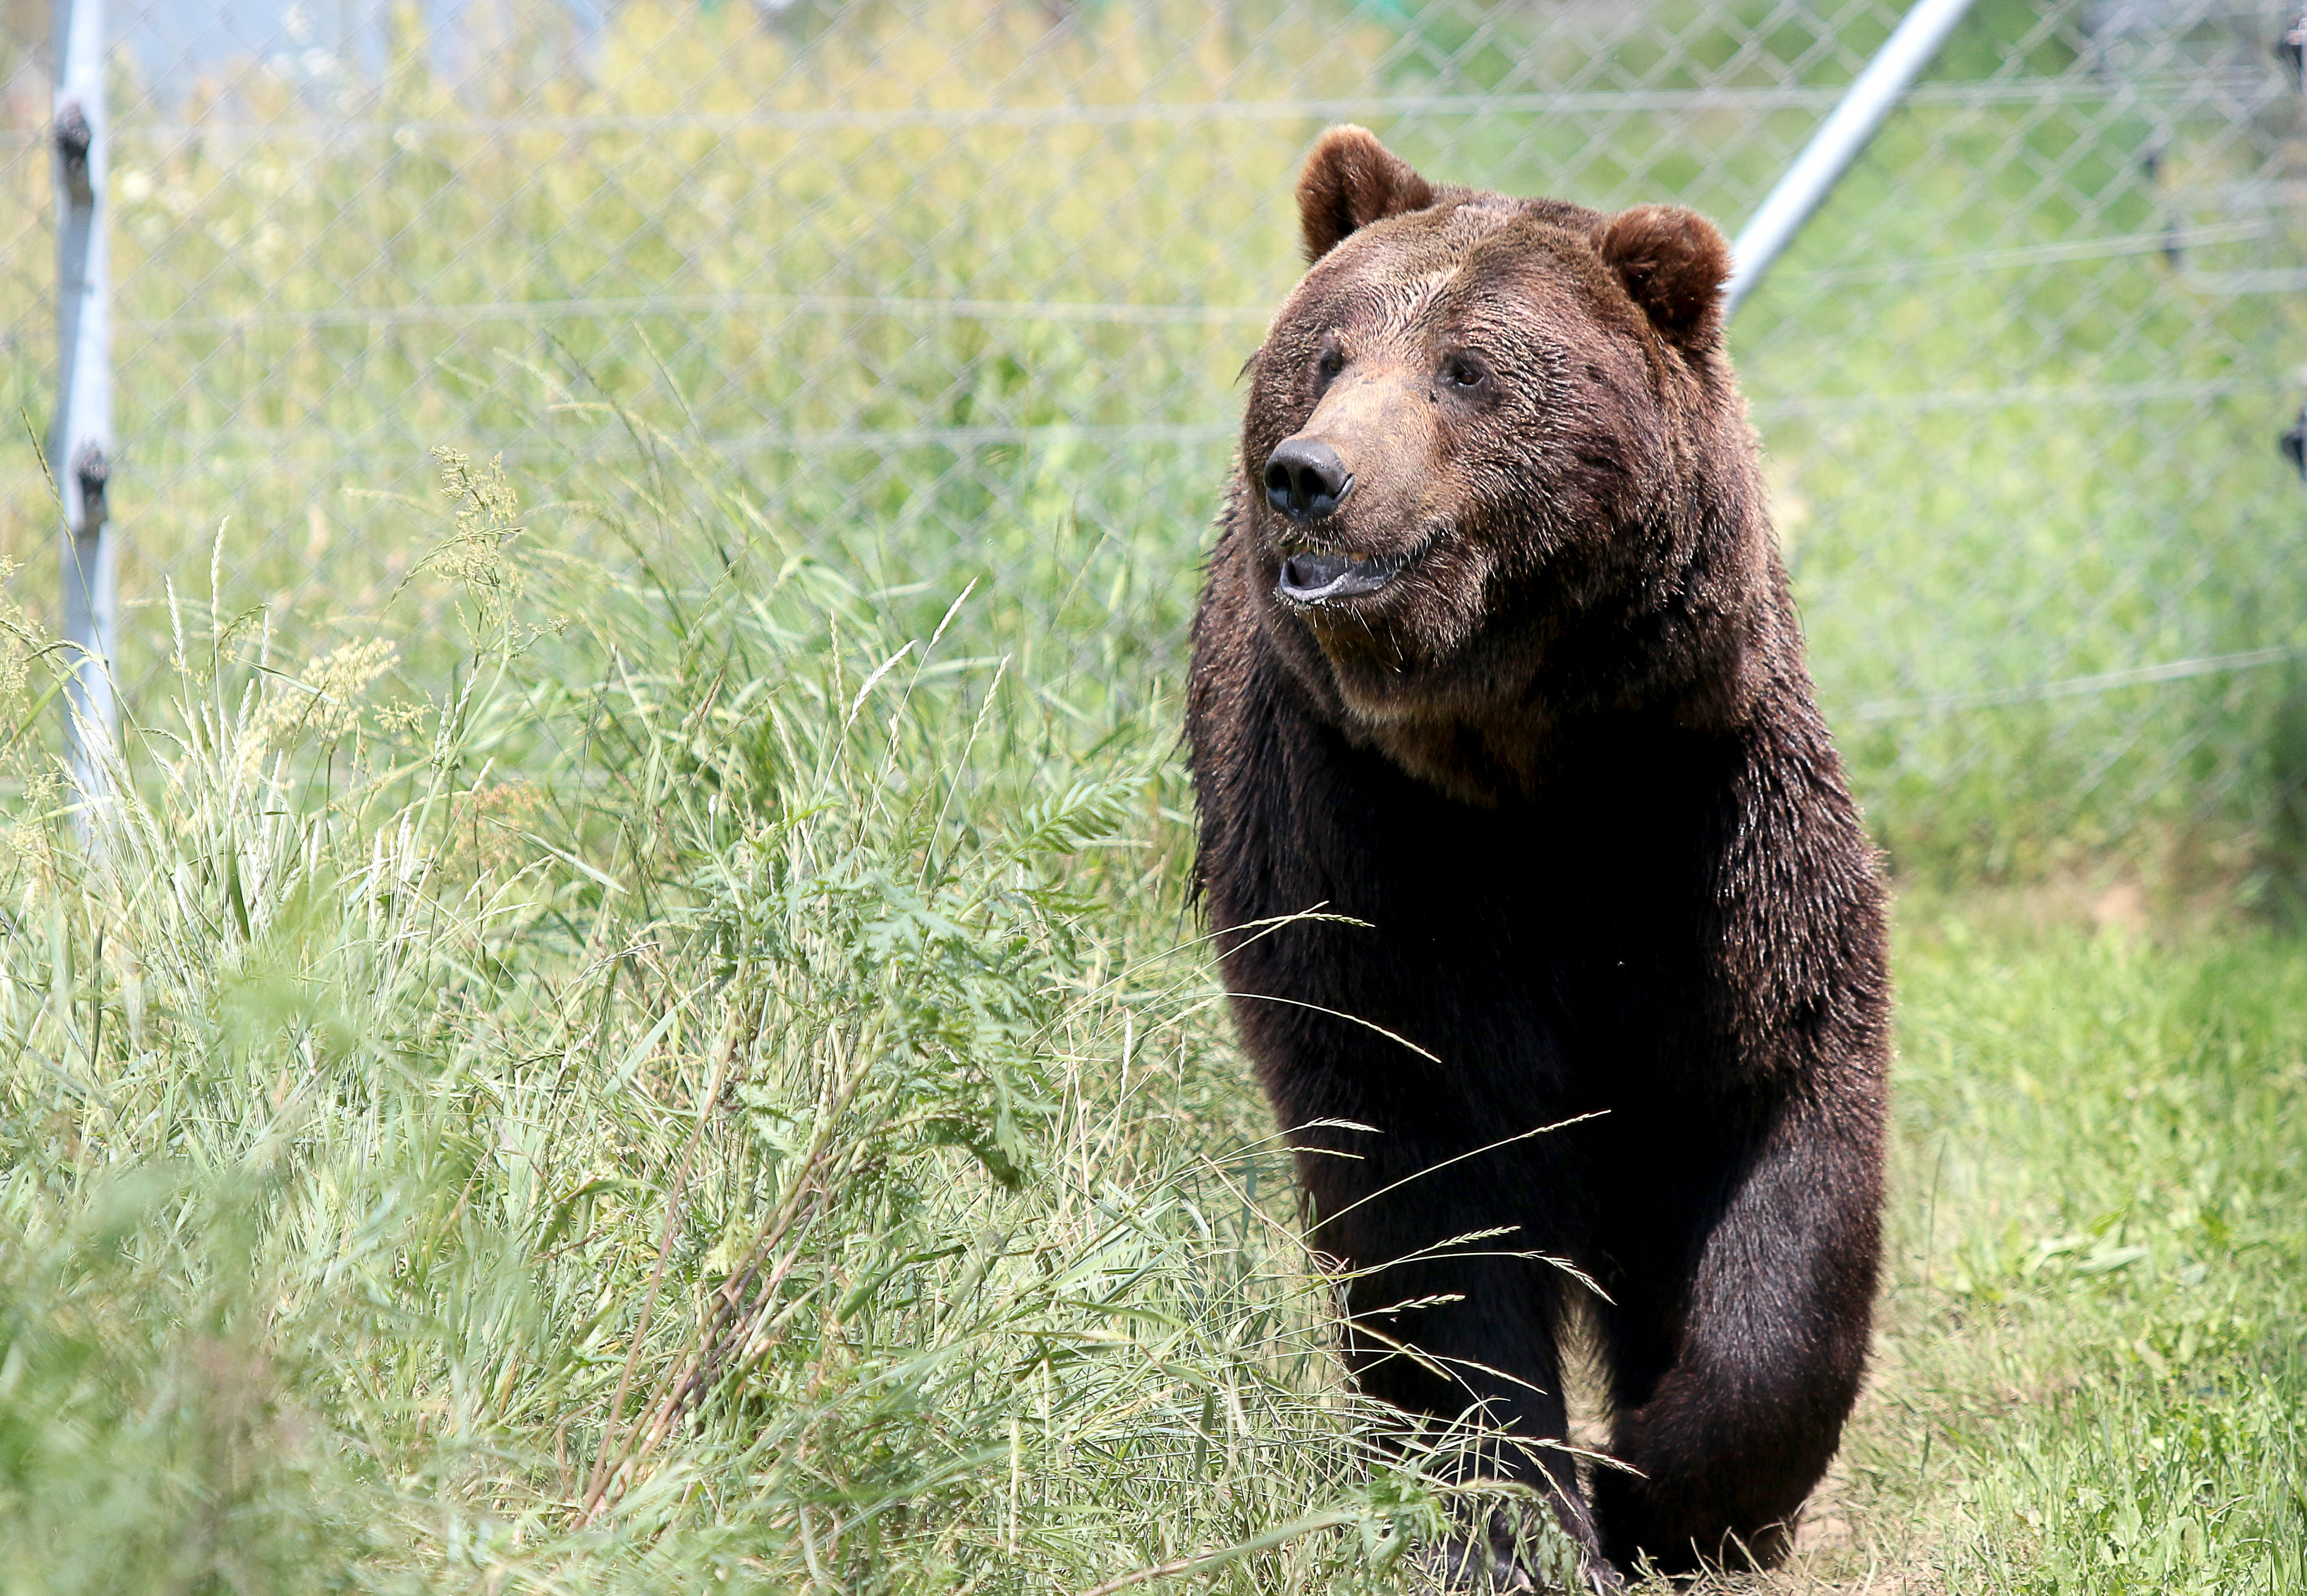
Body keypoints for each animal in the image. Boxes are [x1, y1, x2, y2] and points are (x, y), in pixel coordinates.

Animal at [1190, 131, 1892, 1586]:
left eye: (1466, 367)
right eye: (1329, 353)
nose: (1310, 474)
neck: (1529, 762)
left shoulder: (1702, 837)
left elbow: (1774, 1133)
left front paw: (1672, 1490)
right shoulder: (1378, 858)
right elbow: (1431, 1205)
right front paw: (1515, 1518)